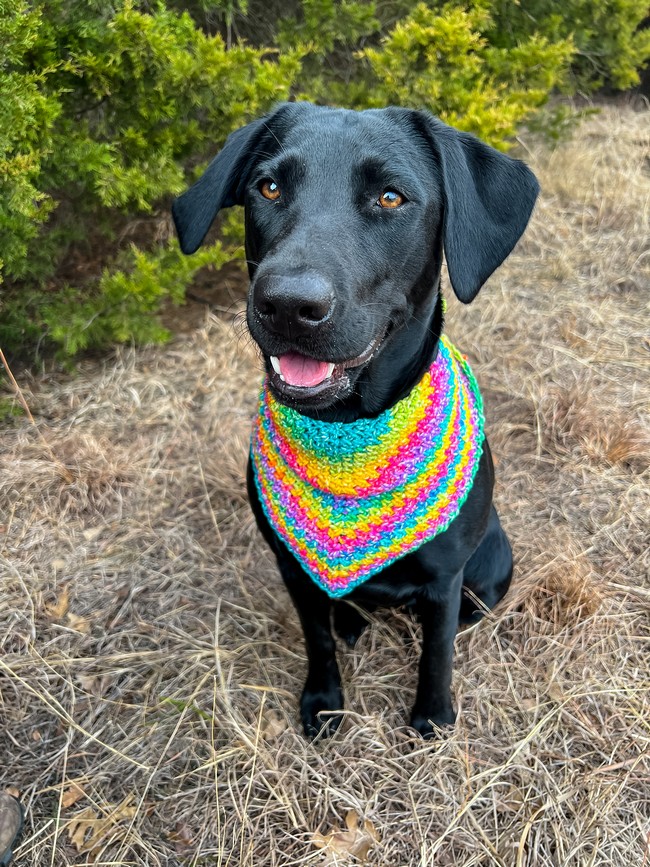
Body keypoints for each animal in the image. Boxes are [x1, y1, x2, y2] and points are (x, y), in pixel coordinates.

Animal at [171, 101, 536, 740]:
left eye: (390, 197)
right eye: (268, 187)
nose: (288, 305)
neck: (347, 428)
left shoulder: (445, 578)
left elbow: (437, 652)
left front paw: (432, 716)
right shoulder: (293, 568)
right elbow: (316, 638)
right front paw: (323, 701)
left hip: (492, 564)